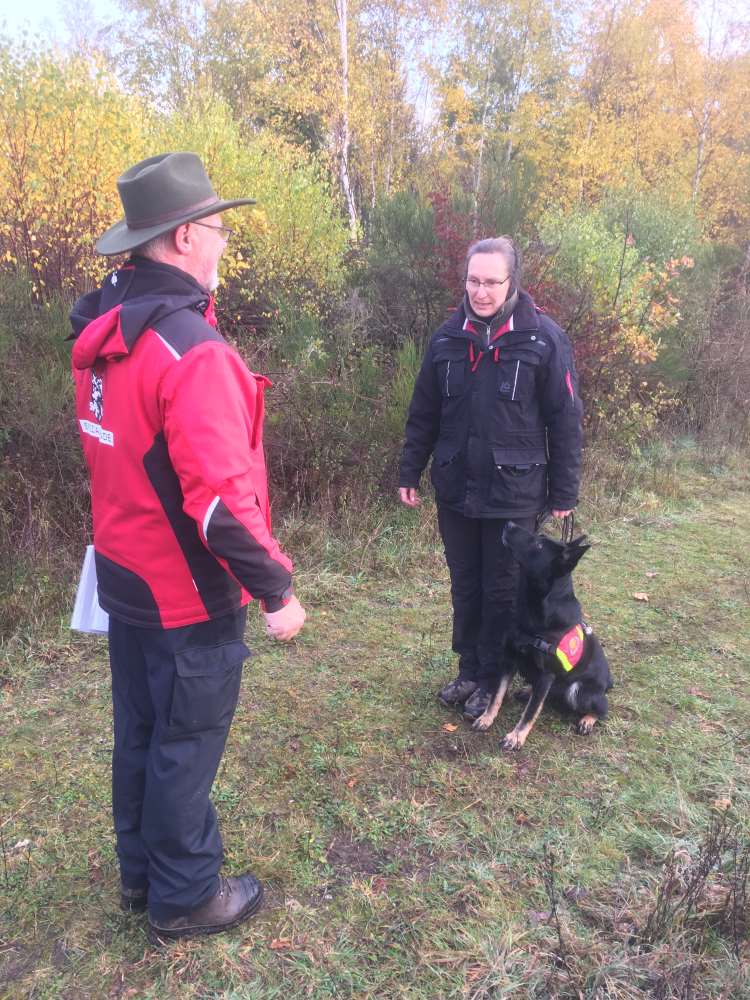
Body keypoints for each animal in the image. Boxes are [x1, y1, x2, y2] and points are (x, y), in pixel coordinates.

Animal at [476, 524, 616, 752]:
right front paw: (486, 718)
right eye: (538, 536)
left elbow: (530, 712)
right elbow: (496, 695)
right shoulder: (508, 661)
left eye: (539, 545)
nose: (509, 524)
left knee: (602, 708)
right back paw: (527, 692)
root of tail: (607, 683)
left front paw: (516, 737)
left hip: (578, 691)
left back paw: (588, 720)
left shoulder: (546, 675)